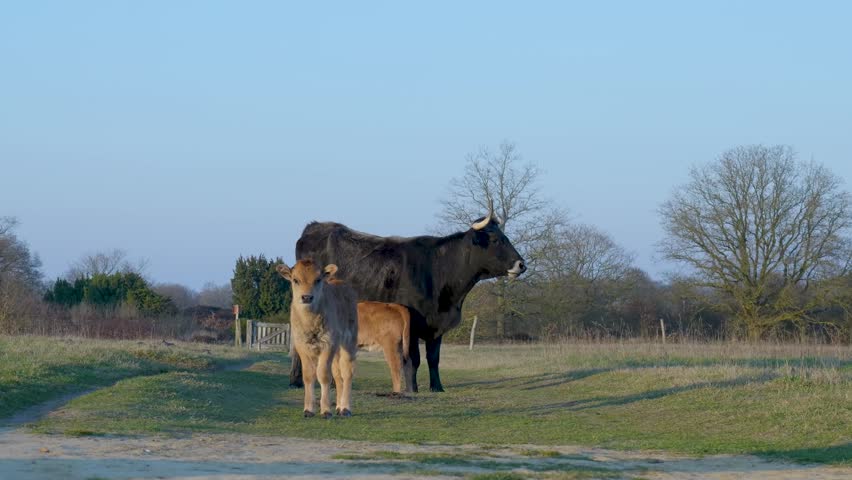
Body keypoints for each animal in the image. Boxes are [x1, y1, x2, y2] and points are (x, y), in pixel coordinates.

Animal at [276, 260, 358, 418]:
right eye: (295, 280)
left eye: (318, 280)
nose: (307, 297)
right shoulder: (301, 345)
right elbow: (309, 375)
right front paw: (308, 409)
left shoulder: (328, 343)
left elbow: (324, 375)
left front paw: (326, 410)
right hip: (337, 350)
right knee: (338, 375)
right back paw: (338, 407)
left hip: (349, 341)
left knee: (347, 372)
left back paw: (345, 408)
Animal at [290, 202, 526, 392]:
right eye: (494, 239)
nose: (521, 264)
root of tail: (315, 227)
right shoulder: (411, 324)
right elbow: (413, 359)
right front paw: (413, 388)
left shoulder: (436, 324)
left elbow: (433, 358)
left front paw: (437, 387)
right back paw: (296, 381)